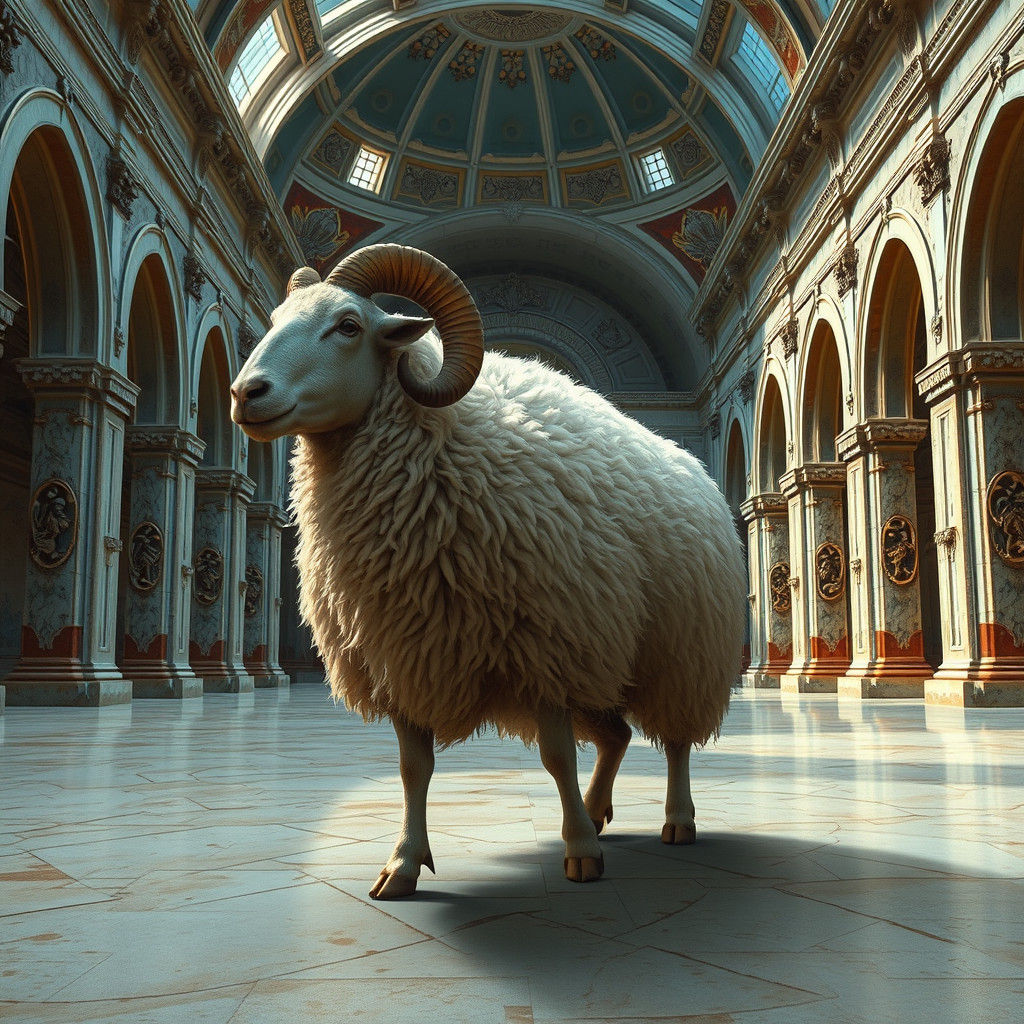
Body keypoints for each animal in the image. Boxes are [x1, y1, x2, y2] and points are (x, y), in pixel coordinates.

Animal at [230, 244, 745, 899]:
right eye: (272, 319)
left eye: (348, 325)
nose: (246, 392)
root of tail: (696, 468)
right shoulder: (400, 651)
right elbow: (413, 767)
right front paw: (403, 863)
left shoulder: (545, 648)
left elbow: (556, 758)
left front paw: (579, 853)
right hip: (608, 654)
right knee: (617, 736)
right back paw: (597, 810)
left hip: (682, 651)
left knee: (676, 740)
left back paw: (675, 820)